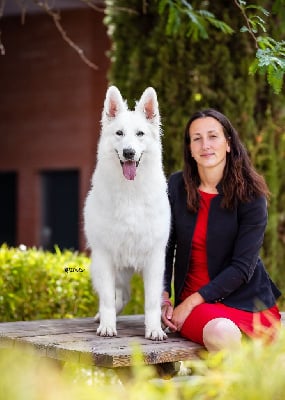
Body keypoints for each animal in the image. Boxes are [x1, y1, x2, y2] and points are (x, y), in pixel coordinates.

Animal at [83, 86, 170, 340]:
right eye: (119, 133)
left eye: (140, 133)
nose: (129, 152)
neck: (131, 192)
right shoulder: (105, 257)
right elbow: (107, 300)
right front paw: (107, 326)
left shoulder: (155, 260)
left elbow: (152, 302)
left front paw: (154, 329)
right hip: (109, 269)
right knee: (118, 295)